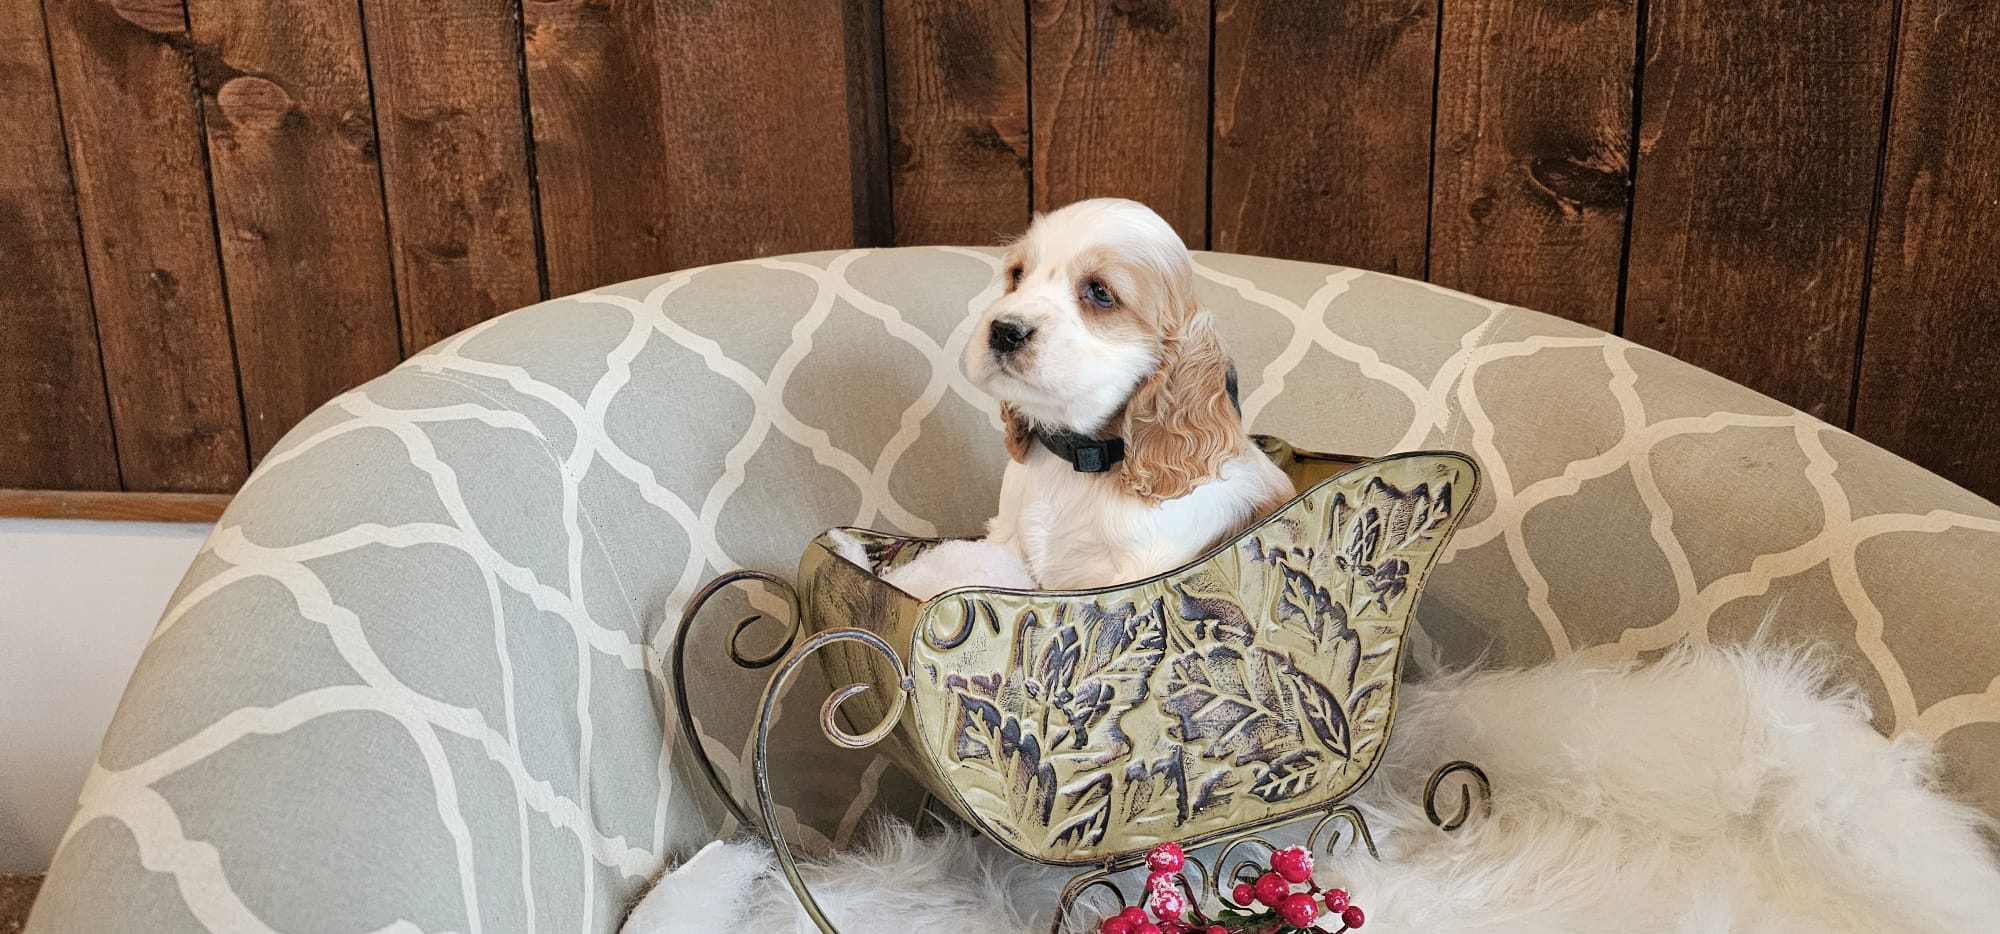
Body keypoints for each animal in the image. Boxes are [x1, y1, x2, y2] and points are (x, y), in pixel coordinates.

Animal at [880, 198, 1294, 599]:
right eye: (1017, 276)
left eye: (1100, 292)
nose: (1003, 331)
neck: (1079, 458)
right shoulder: (1008, 540)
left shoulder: (1136, 573)